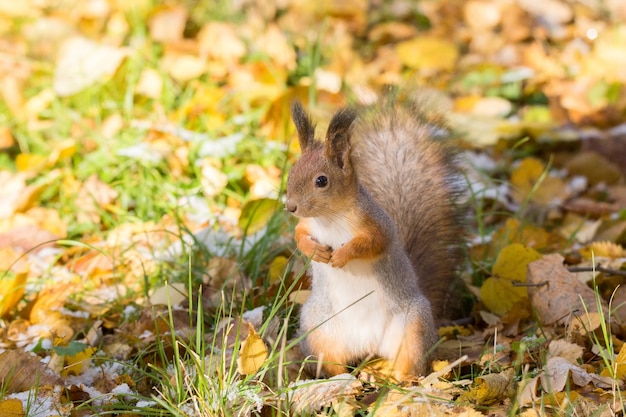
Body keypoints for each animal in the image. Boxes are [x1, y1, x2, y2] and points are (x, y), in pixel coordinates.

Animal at [284, 95, 464, 380]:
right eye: (291, 173)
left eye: (321, 181)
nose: (290, 206)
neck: (330, 218)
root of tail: (367, 344)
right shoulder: (307, 224)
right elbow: (299, 234)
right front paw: (315, 251)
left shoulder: (377, 224)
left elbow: (371, 243)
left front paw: (342, 255)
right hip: (319, 329)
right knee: (334, 363)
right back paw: (342, 379)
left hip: (411, 327)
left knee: (410, 364)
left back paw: (397, 378)